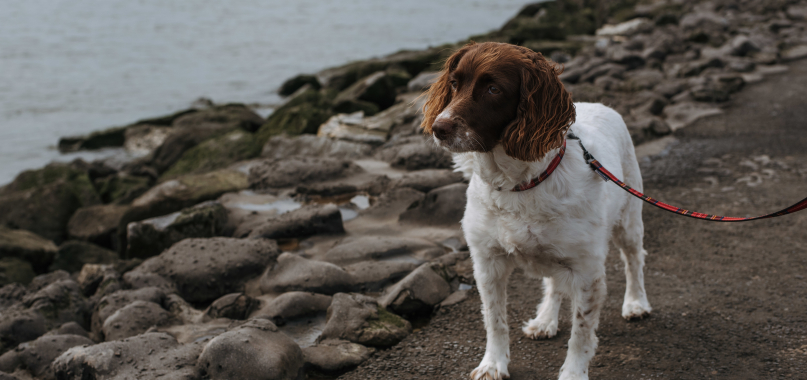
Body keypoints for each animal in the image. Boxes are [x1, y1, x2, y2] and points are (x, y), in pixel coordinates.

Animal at [420, 40, 652, 378]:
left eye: (493, 89)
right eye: (454, 83)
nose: (439, 128)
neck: (518, 184)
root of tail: (600, 104)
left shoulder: (587, 270)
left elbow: (581, 333)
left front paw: (573, 373)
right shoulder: (487, 263)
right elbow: (495, 321)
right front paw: (493, 364)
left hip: (629, 220)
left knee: (634, 260)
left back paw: (636, 303)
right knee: (554, 283)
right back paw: (545, 320)